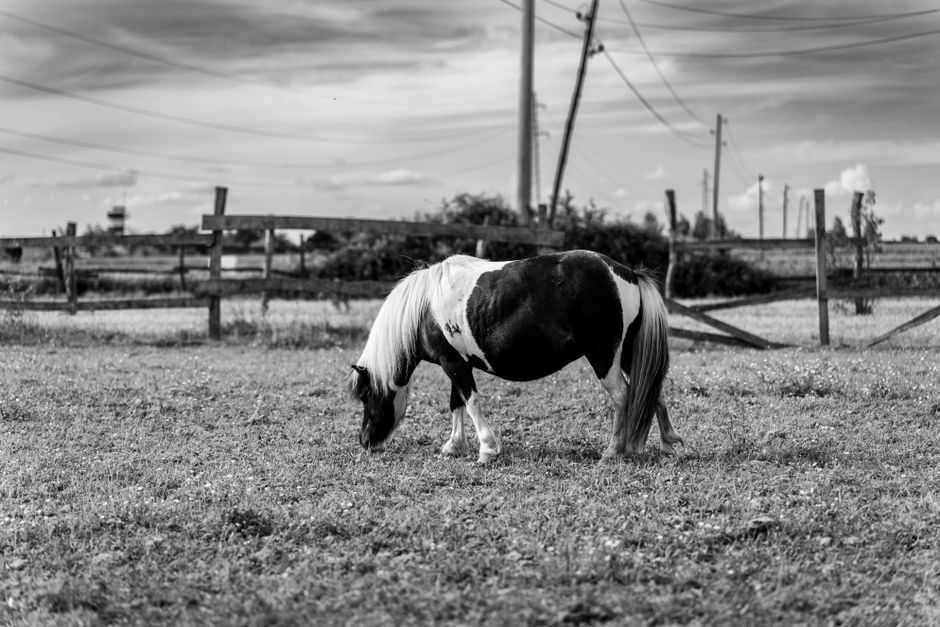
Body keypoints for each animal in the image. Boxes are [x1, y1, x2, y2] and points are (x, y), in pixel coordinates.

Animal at [348, 250, 683, 463]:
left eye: (365, 395)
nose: (365, 442)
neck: (424, 309)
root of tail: (627, 273)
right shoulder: (456, 363)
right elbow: (456, 404)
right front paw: (453, 446)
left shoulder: (454, 364)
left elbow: (471, 403)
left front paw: (487, 450)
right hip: (628, 354)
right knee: (653, 390)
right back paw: (669, 444)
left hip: (604, 357)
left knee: (624, 396)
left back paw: (613, 451)